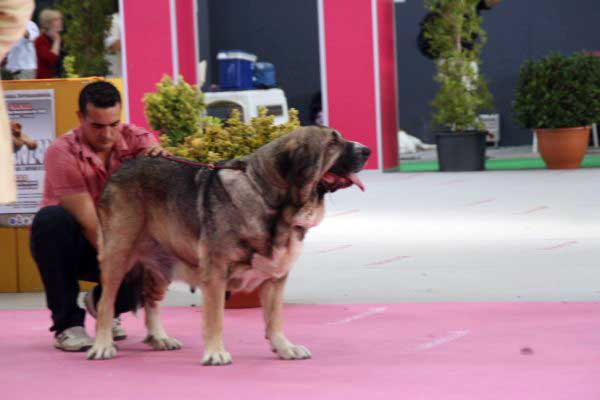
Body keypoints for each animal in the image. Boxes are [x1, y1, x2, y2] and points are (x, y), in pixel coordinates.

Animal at [88, 126, 370, 364]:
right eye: (332, 143)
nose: (367, 150)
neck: (269, 197)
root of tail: (121, 168)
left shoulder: (275, 277)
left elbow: (274, 318)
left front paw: (284, 347)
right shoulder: (215, 274)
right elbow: (216, 317)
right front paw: (215, 352)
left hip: (162, 263)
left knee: (150, 299)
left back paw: (159, 338)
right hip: (118, 255)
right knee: (106, 303)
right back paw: (103, 345)